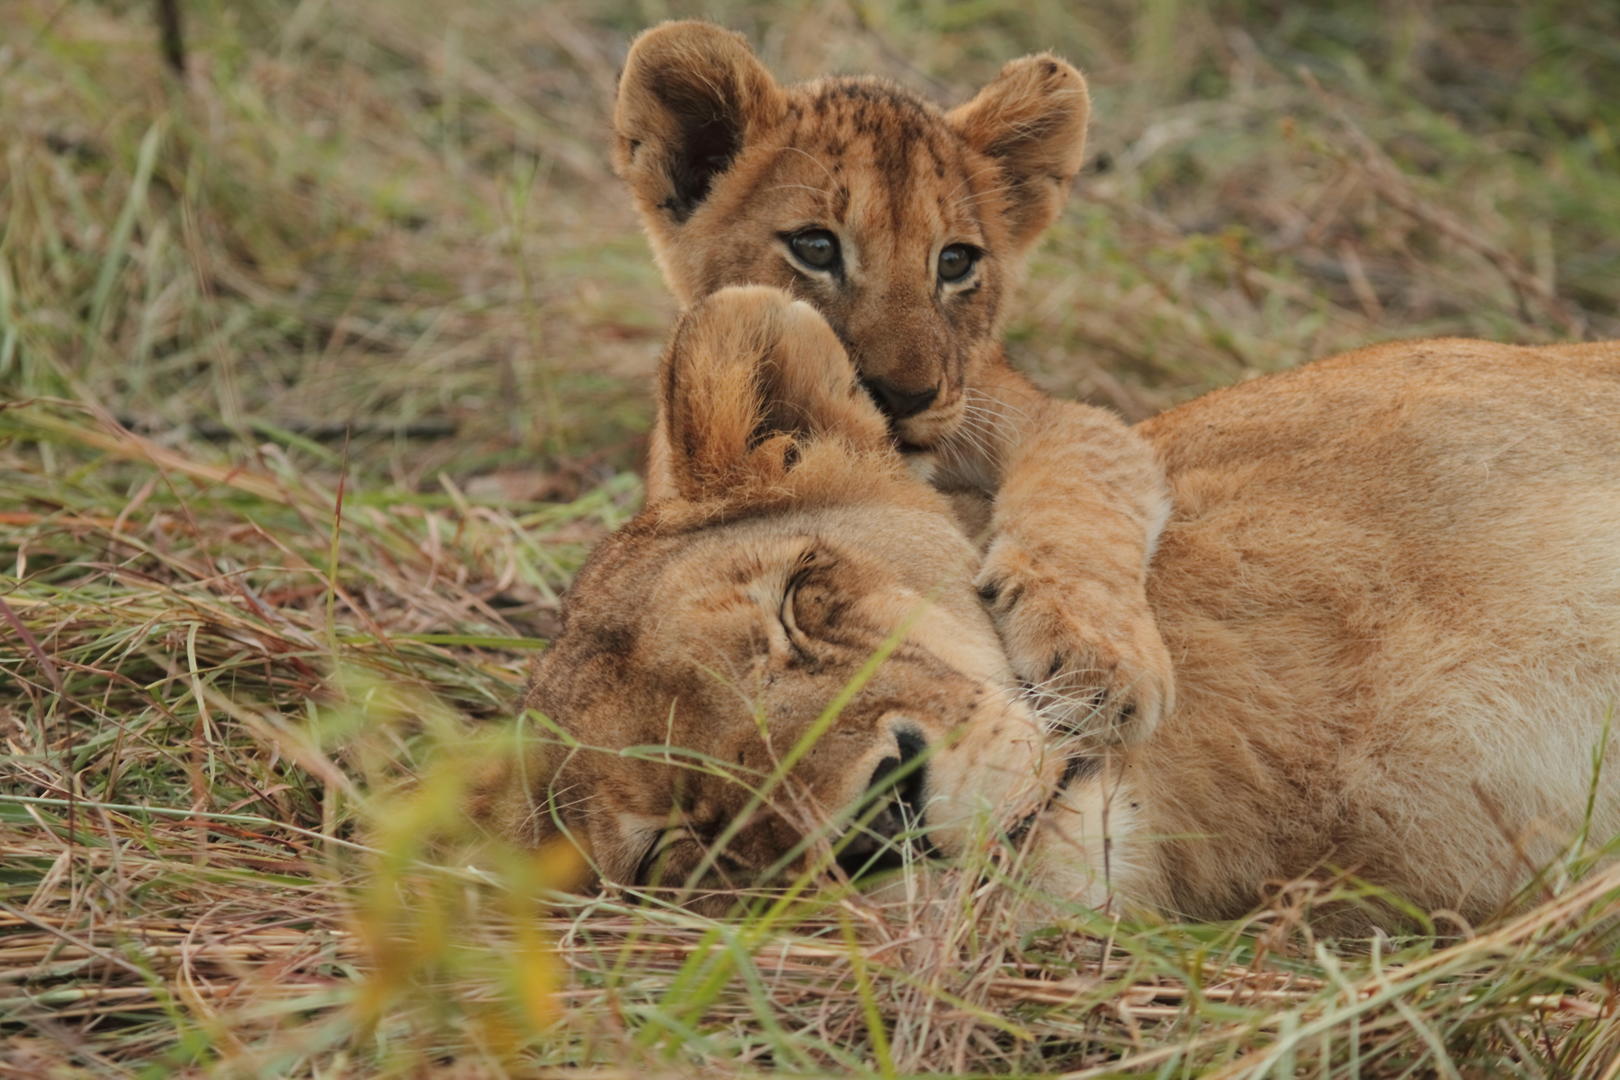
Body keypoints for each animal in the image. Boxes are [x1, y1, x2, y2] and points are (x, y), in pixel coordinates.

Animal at [613, 21, 1175, 744]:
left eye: (956, 261)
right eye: (816, 248)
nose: (906, 396)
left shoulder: (1044, 413)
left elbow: (1082, 493)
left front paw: (1098, 658)